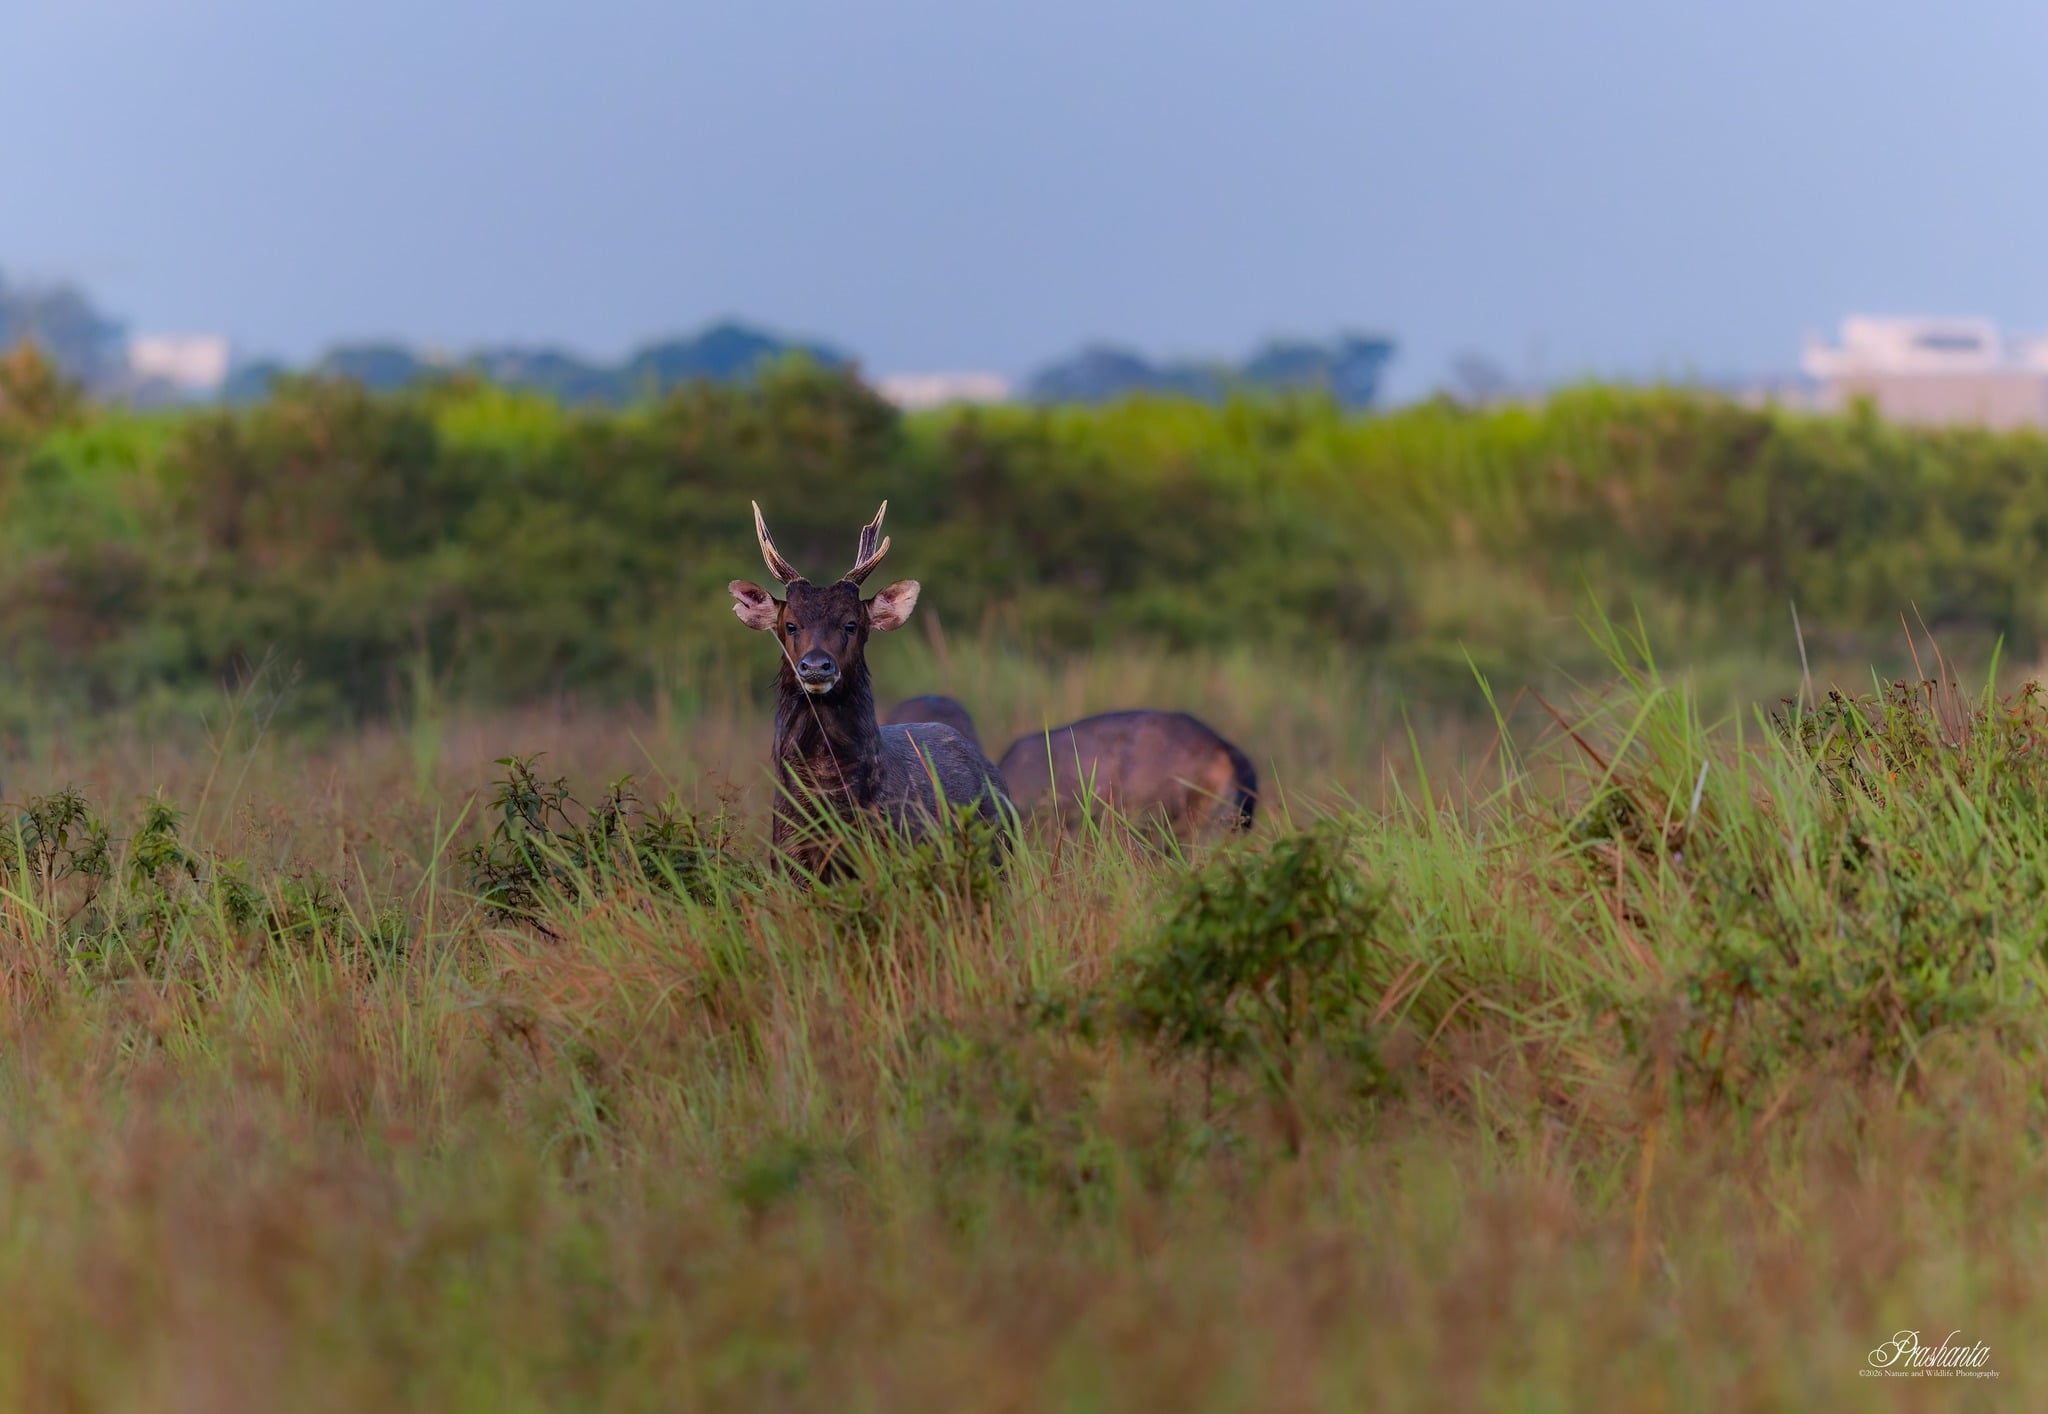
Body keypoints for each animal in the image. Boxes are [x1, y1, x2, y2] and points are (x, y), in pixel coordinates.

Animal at [730, 501, 1014, 879]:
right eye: (790, 625)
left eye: (851, 624)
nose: (816, 666)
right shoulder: (788, 856)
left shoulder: (892, 848)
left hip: (1001, 848)